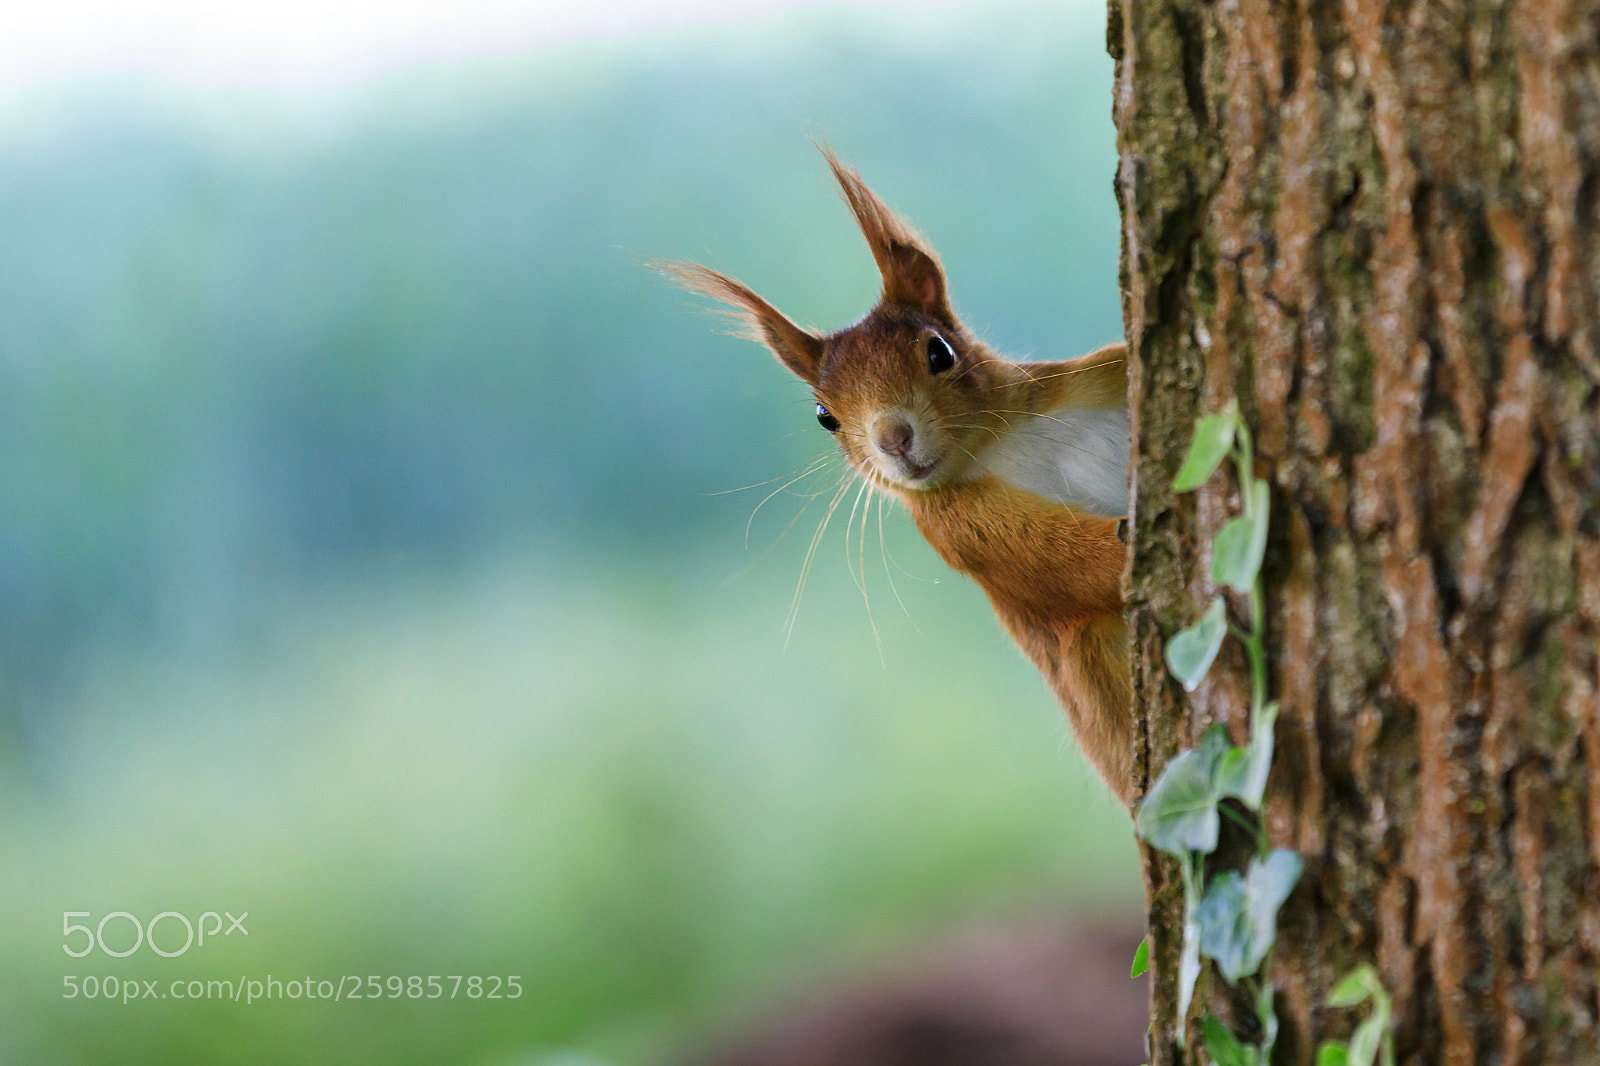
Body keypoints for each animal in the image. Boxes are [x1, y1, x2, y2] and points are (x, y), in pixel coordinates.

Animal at [662, 149, 1134, 809]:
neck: (996, 445)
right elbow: (1060, 565)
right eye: (824, 416)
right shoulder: (966, 532)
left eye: (939, 352)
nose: (893, 439)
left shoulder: (1093, 379)